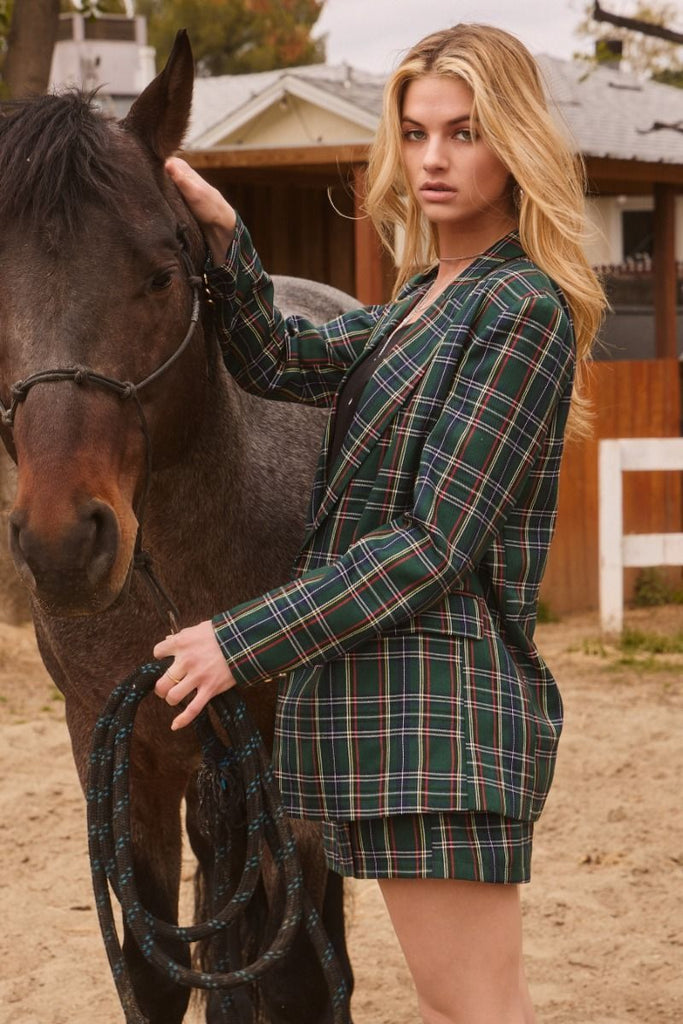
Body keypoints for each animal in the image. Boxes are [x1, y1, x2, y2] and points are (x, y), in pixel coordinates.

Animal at [0, 32, 358, 1024]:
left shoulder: (286, 770)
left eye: (160, 276)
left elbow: (296, 971)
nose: (62, 542)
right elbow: (156, 968)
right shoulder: (117, 753)